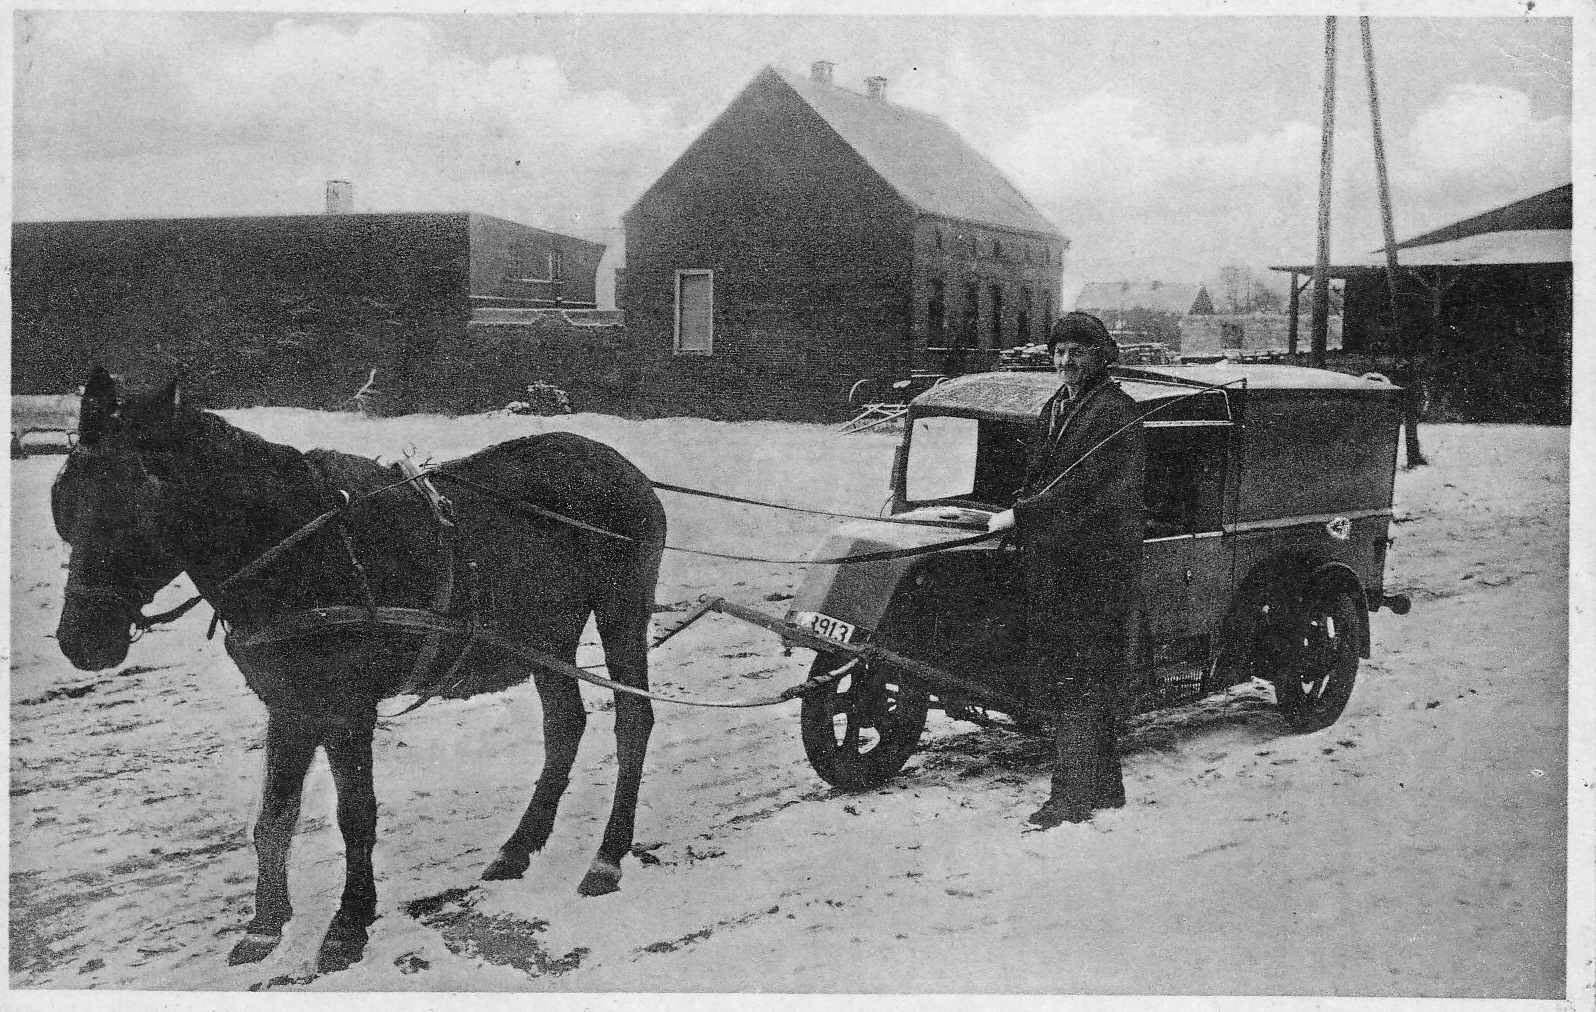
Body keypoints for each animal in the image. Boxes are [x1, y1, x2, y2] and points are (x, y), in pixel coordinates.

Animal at [51, 368, 667, 970]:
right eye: (67, 503)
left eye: (134, 505)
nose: (81, 641)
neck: (298, 545)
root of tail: (619, 465)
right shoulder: (291, 703)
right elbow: (274, 816)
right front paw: (265, 924)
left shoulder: (348, 709)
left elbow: (355, 815)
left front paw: (348, 925)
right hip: (546, 636)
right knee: (564, 726)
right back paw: (518, 849)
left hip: (621, 612)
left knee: (633, 722)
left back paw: (607, 857)